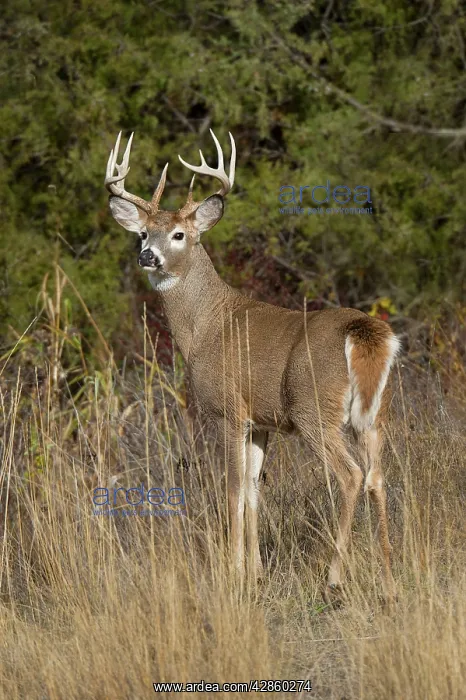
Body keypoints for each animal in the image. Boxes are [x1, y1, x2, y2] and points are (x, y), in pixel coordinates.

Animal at [105, 129, 400, 604]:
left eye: (179, 234)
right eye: (143, 234)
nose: (147, 257)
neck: (206, 326)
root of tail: (363, 331)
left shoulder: (228, 410)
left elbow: (230, 491)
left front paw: (231, 573)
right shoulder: (262, 422)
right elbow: (251, 492)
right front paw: (255, 573)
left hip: (313, 407)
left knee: (351, 474)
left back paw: (334, 577)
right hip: (375, 414)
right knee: (377, 476)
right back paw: (389, 583)